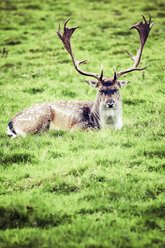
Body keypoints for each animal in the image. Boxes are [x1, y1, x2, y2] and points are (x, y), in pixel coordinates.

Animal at [7, 15, 155, 138]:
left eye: (116, 89)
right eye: (100, 90)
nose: (110, 103)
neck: (109, 126)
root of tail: (10, 124)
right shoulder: (78, 127)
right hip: (39, 119)